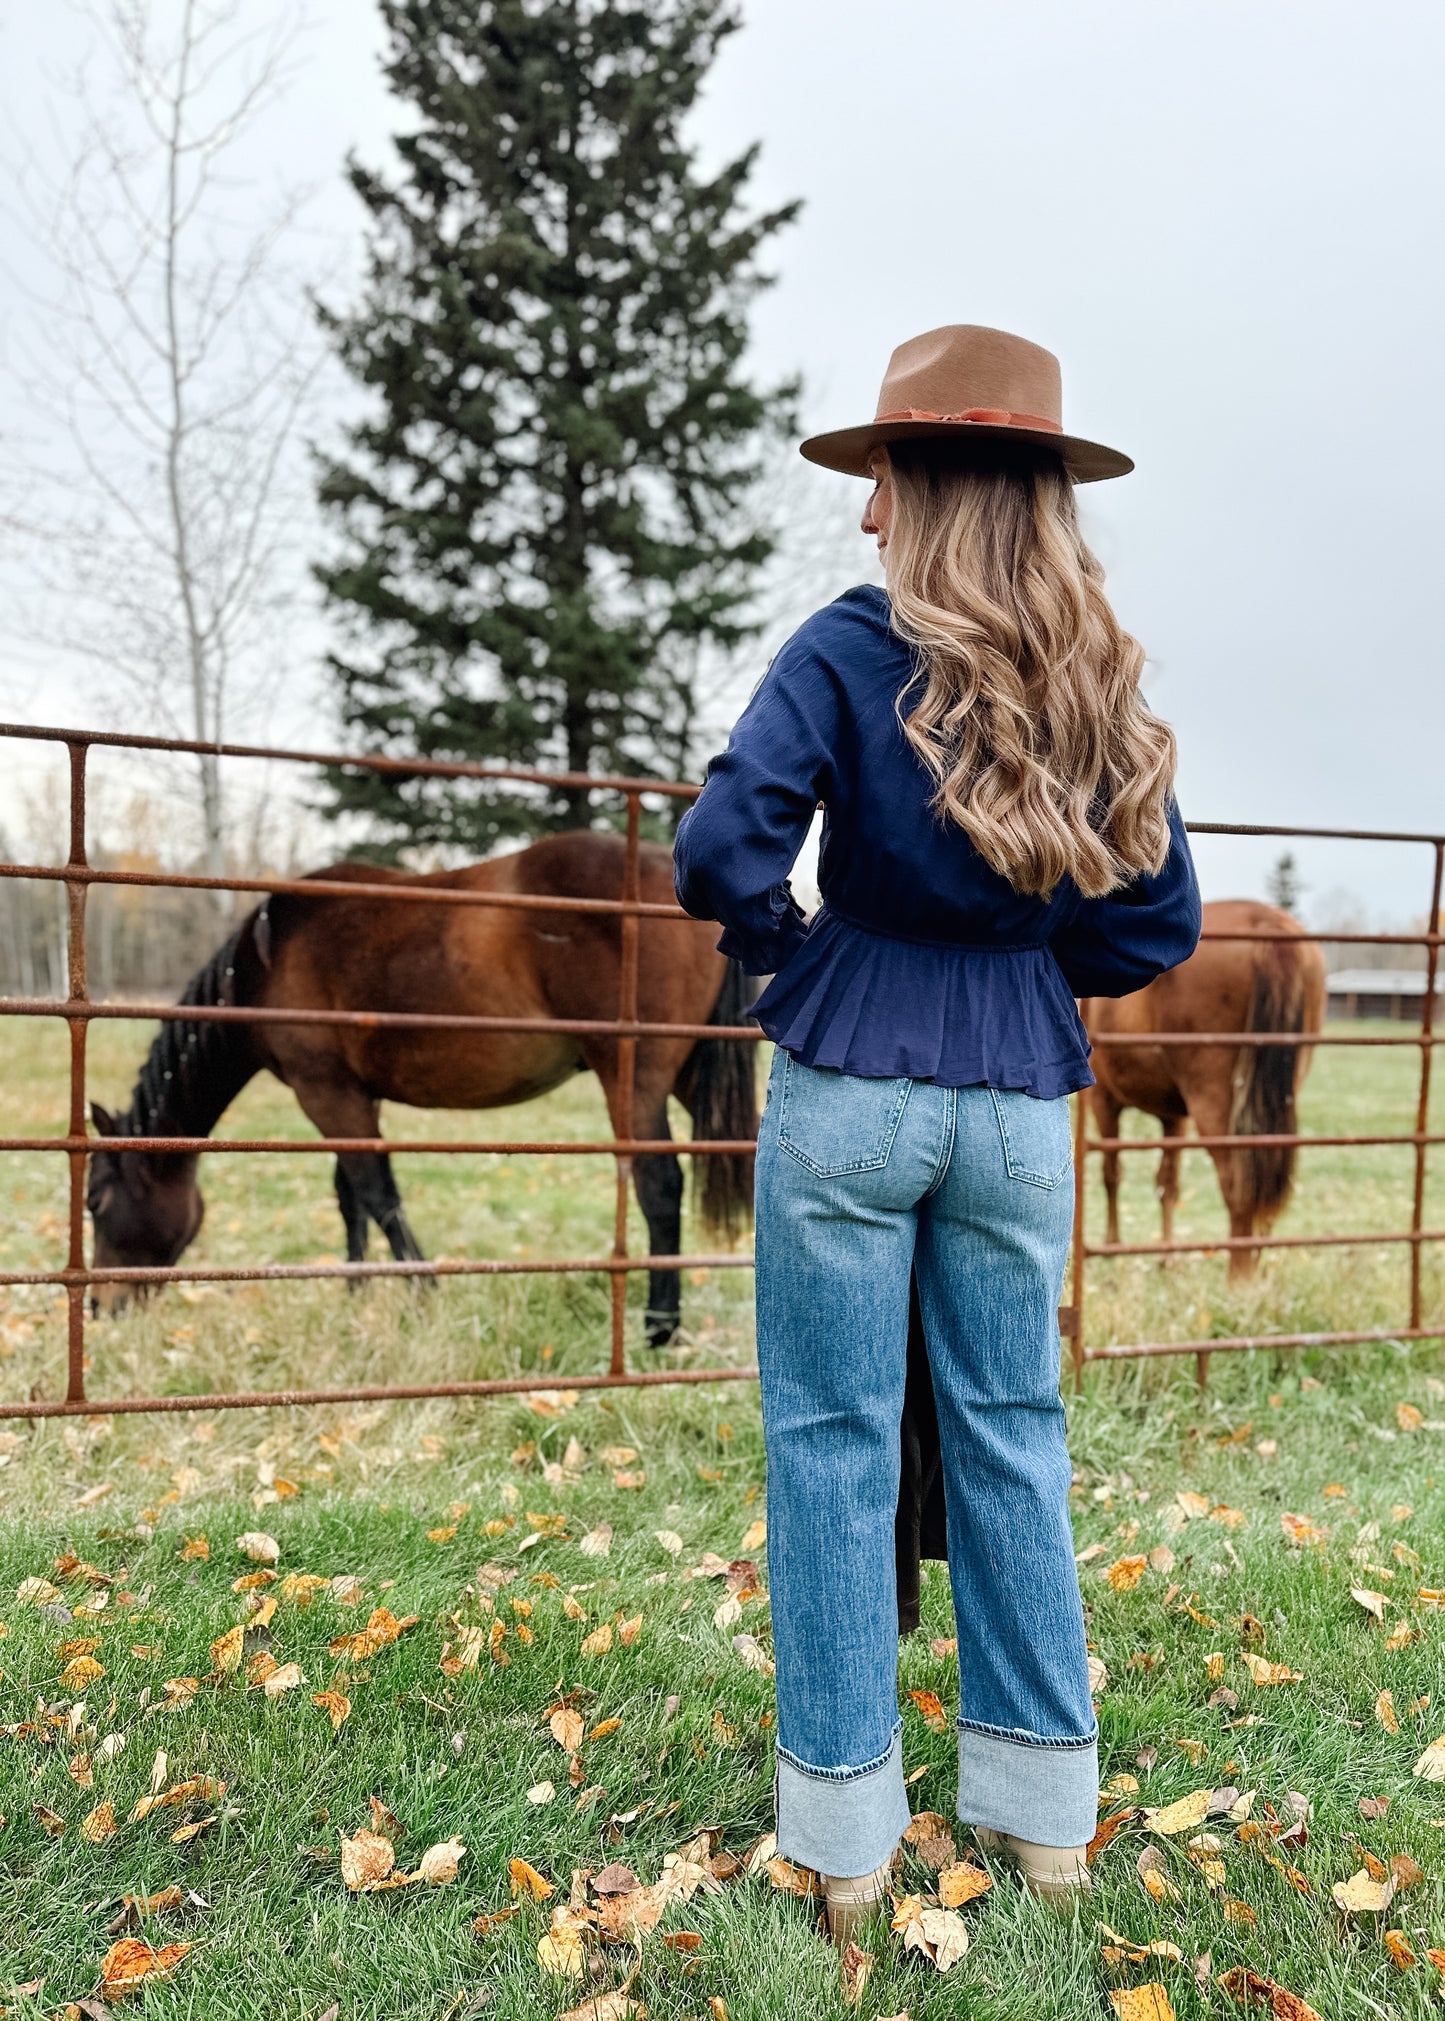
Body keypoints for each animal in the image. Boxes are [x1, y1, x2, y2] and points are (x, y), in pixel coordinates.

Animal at [86, 832, 755, 1341]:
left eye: (95, 1202)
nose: (98, 1307)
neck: (263, 961)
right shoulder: (351, 1094)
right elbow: (349, 1198)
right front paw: (356, 1293)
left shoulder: (324, 1091)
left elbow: (377, 1194)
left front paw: (423, 1290)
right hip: (687, 1073)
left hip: (632, 1077)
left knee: (659, 1185)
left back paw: (660, 1327)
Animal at [1083, 901, 1333, 1277]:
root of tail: (1266, 924)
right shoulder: (1174, 1116)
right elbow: (1167, 1183)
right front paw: (1167, 1258)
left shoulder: (1105, 1101)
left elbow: (1112, 1175)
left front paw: (1112, 1250)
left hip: (1213, 1100)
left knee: (1238, 1182)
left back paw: (1240, 1277)